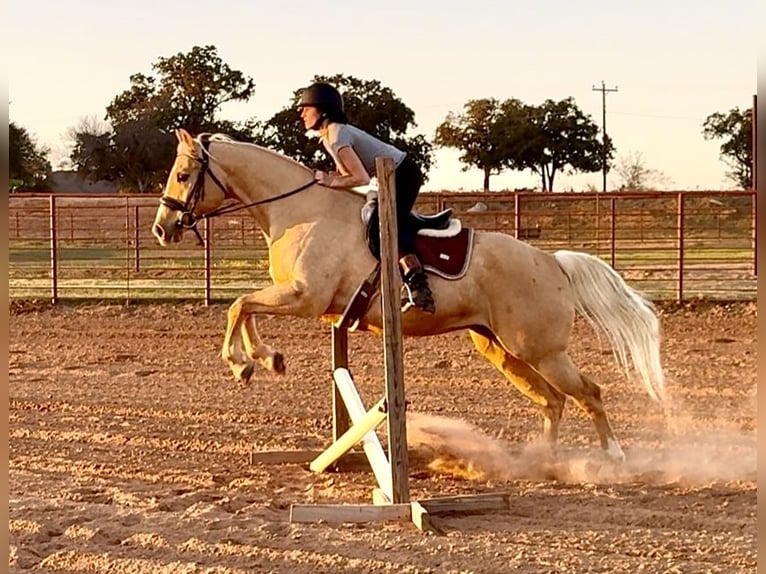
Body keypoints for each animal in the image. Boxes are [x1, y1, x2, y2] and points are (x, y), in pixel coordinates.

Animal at [152, 128, 666, 462]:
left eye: (182, 175)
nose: (162, 228)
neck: (297, 209)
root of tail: (551, 262)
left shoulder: (305, 297)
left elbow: (239, 305)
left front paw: (244, 363)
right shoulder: (303, 301)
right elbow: (244, 307)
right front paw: (265, 359)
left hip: (541, 350)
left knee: (588, 393)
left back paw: (614, 458)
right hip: (500, 348)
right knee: (552, 402)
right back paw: (540, 462)